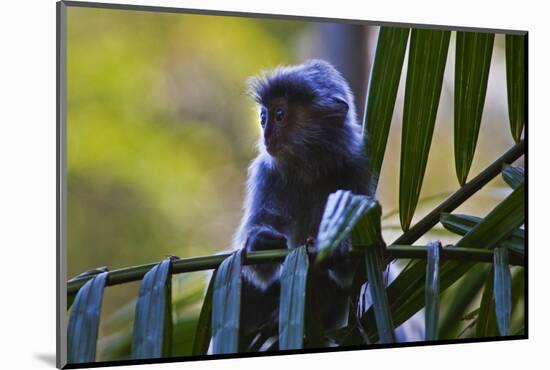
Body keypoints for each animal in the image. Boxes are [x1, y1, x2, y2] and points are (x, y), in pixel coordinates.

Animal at [233, 60, 370, 350]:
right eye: (263, 117)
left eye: (280, 115)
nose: (266, 133)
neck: (308, 168)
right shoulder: (267, 172)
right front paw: (260, 242)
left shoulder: (356, 167)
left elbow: (352, 271)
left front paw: (339, 243)